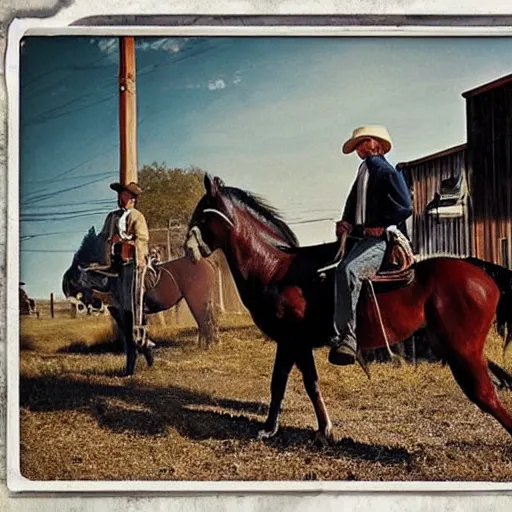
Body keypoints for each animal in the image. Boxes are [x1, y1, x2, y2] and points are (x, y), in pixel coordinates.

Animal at [63, 228, 217, 376]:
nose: (66, 285)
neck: (112, 279)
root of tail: (206, 263)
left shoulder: (131, 314)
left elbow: (133, 341)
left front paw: (130, 370)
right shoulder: (122, 315)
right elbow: (137, 339)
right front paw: (149, 358)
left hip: (197, 300)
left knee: (205, 322)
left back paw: (208, 346)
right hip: (203, 300)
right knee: (207, 322)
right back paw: (208, 344)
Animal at [185, 176, 512, 444]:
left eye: (202, 213)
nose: (188, 249)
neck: (275, 268)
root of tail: (481, 272)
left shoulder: (295, 342)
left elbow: (302, 383)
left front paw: (315, 430)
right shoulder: (290, 344)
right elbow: (283, 383)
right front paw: (277, 428)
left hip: (462, 353)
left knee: (487, 395)